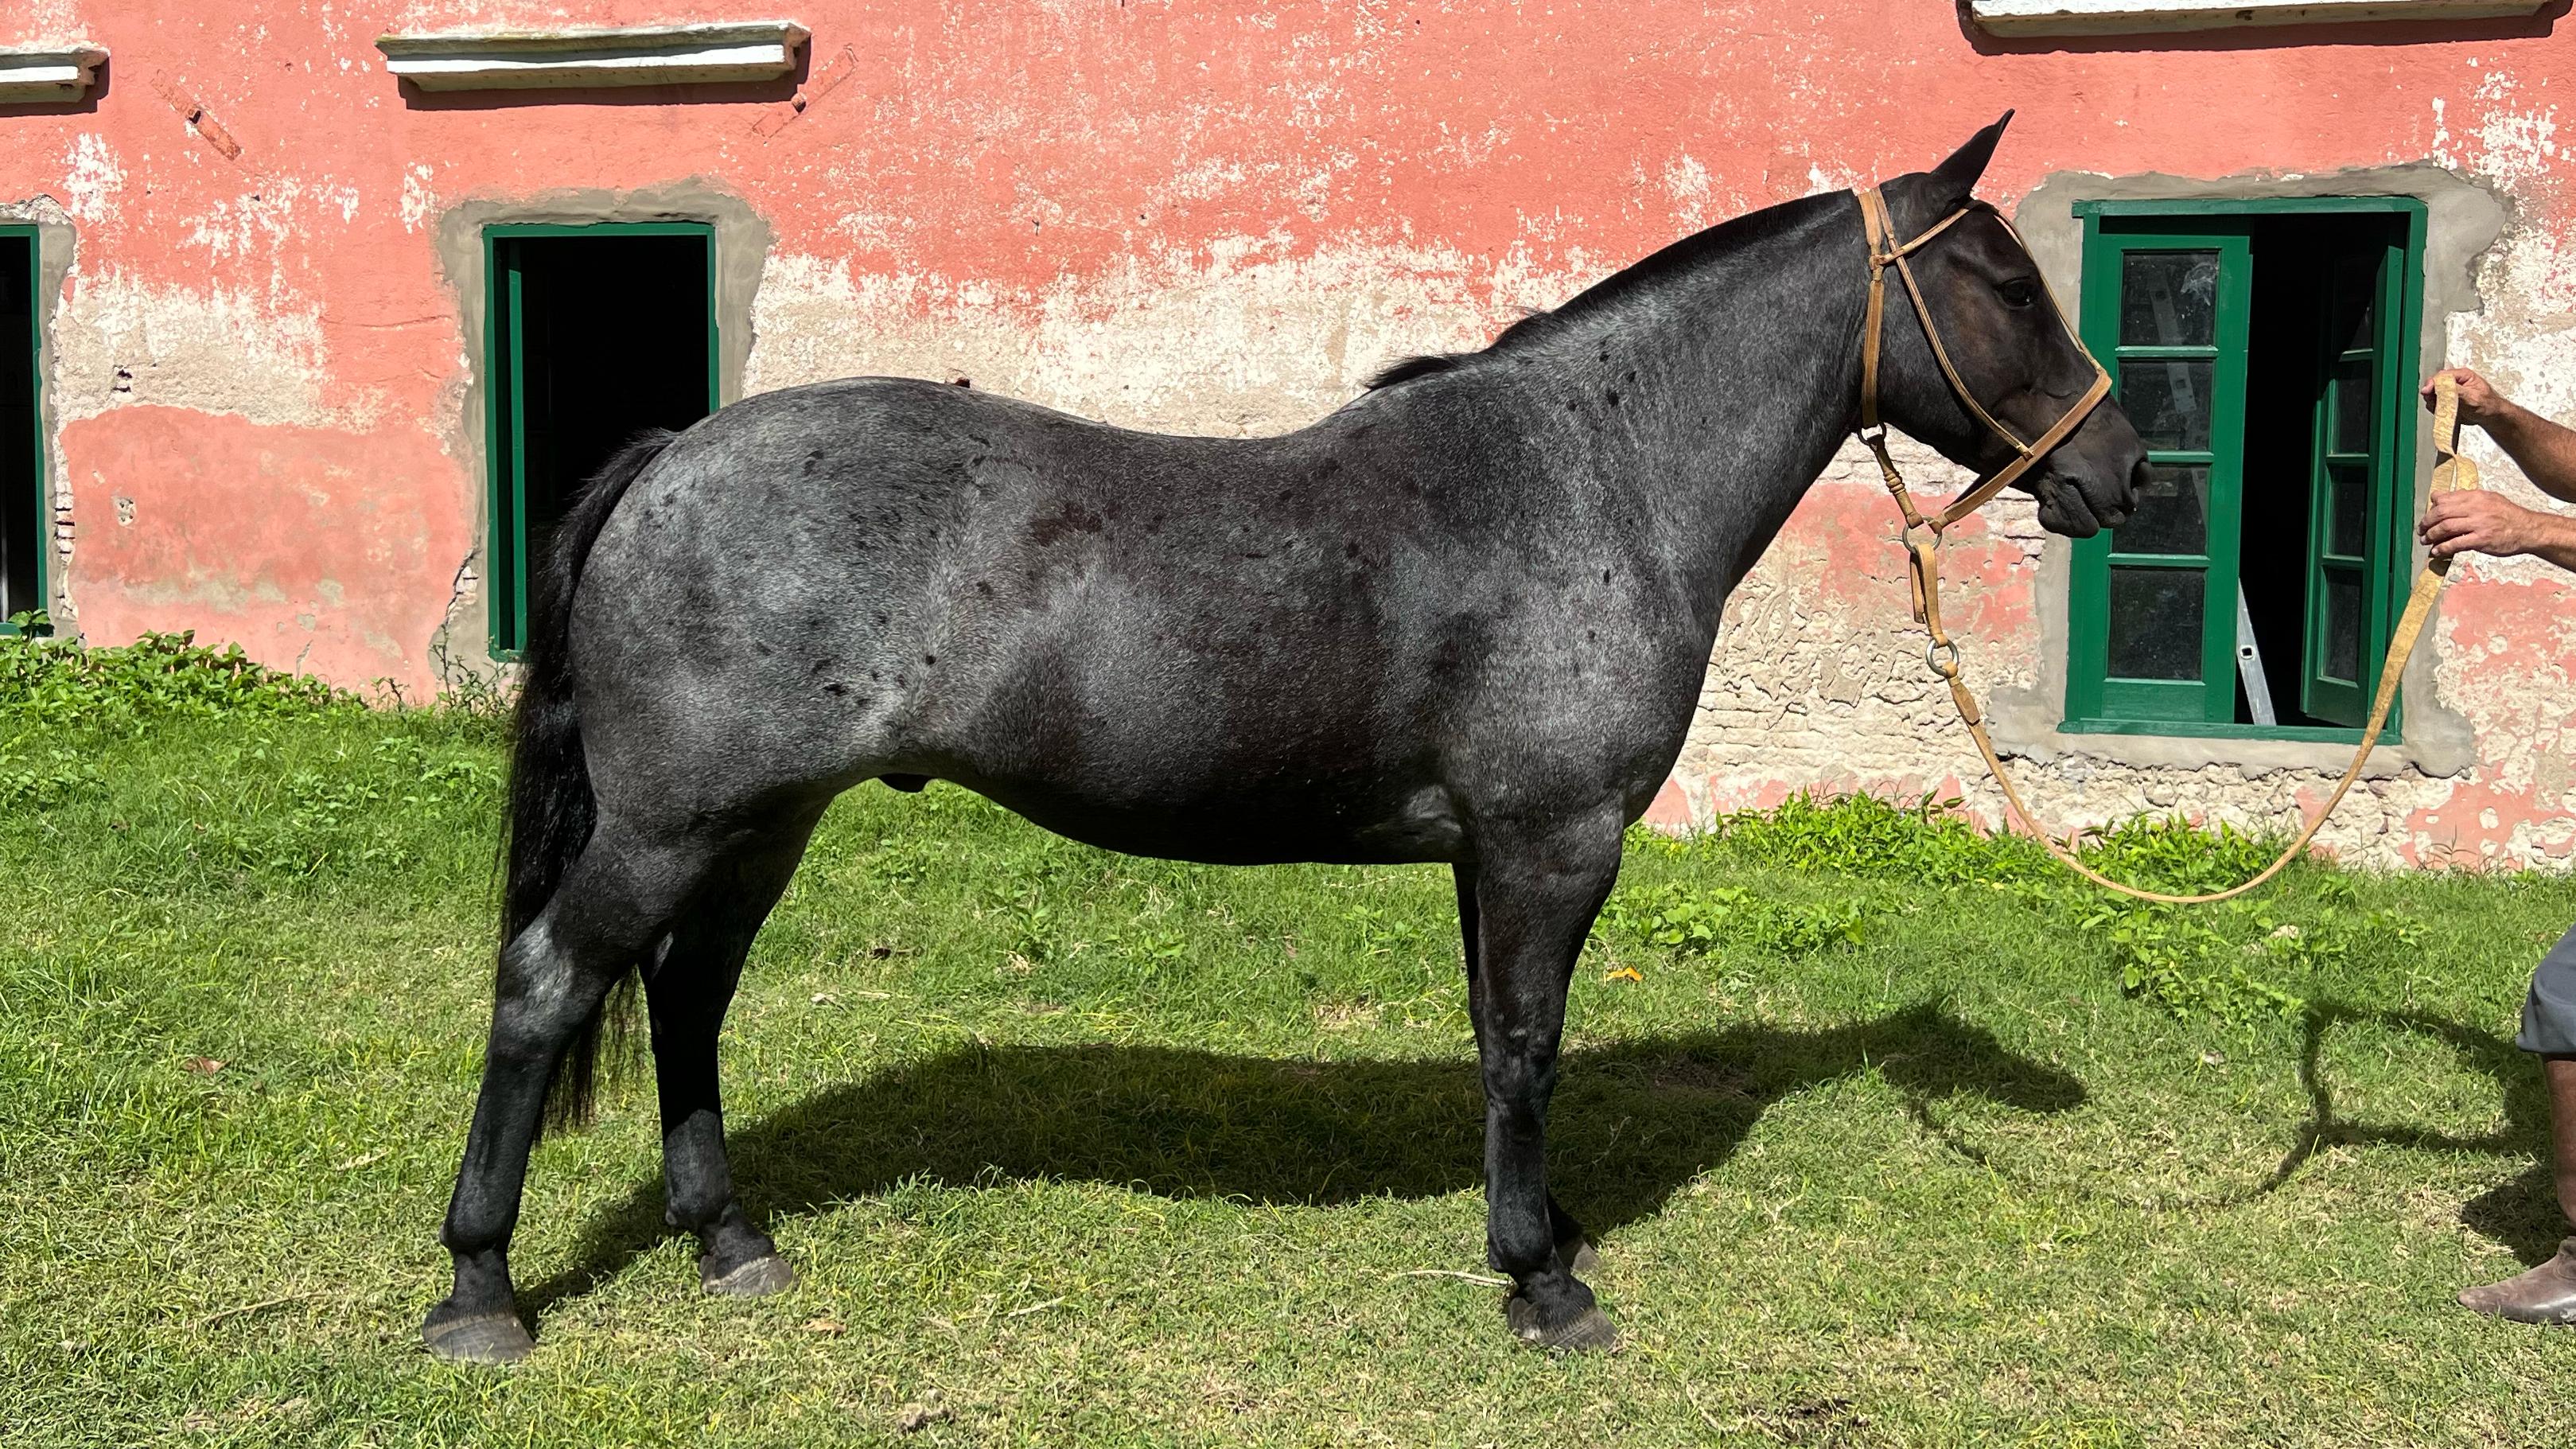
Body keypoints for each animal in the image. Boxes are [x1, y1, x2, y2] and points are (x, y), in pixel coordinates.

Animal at [422, 114, 2147, 1362]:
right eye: (2006, 285)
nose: (2121, 468)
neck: (1591, 472)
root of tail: (670, 457)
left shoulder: (1487, 853)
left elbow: (1496, 1044)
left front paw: (1534, 1243)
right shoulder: (1550, 841)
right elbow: (1528, 1045)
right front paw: (1545, 1286)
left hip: (759, 821)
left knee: (688, 992)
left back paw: (730, 1242)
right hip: (674, 821)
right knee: (550, 984)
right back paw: (479, 1292)